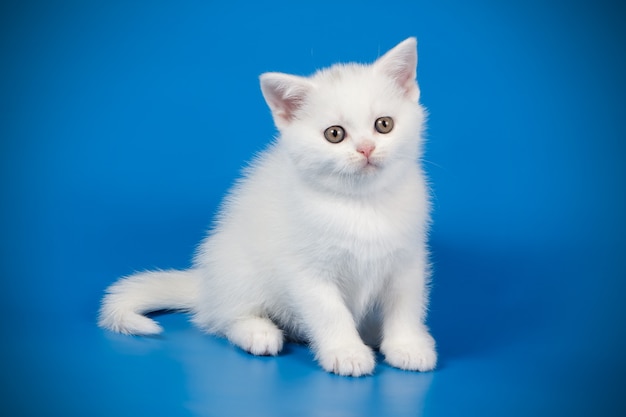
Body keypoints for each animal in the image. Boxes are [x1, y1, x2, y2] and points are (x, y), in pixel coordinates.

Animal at [100, 38, 436, 376]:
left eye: (384, 124)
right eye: (334, 134)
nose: (366, 148)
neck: (362, 205)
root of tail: (206, 285)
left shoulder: (408, 260)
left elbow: (405, 304)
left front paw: (407, 345)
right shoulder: (305, 270)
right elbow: (329, 311)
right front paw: (347, 352)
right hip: (238, 268)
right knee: (220, 318)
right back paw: (256, 332)